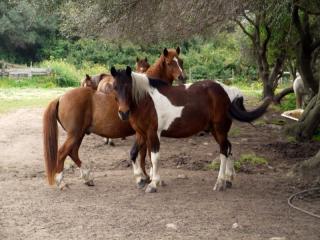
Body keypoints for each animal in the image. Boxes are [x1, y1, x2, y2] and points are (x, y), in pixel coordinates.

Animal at [43, 47, 186, 189]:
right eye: (169, 63)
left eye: (181, 61)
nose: (182, 77)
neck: (146, 93)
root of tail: (60, 98)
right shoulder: (149, 133)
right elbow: (147, 156)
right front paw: (149, 177)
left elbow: (143, 155)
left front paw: (145, 176)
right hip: (75, 134)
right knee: (62, 152)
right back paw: (61, 182)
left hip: (79, 134)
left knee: (73, 152)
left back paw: (87, 178)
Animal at [111, 66, 272, 193]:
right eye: (115, 87)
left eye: (128, 86)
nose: (123, 113)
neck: (147, 101)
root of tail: (227, 91)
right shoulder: (141, 134)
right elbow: (134, 153)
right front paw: (140, 179)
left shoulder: (153, 133)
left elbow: (154, 158)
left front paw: (153, 184)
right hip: (216, 130)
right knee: (229, 148)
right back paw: (229, 179)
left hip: (219, 129)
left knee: (223, 151)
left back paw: (220, 182)